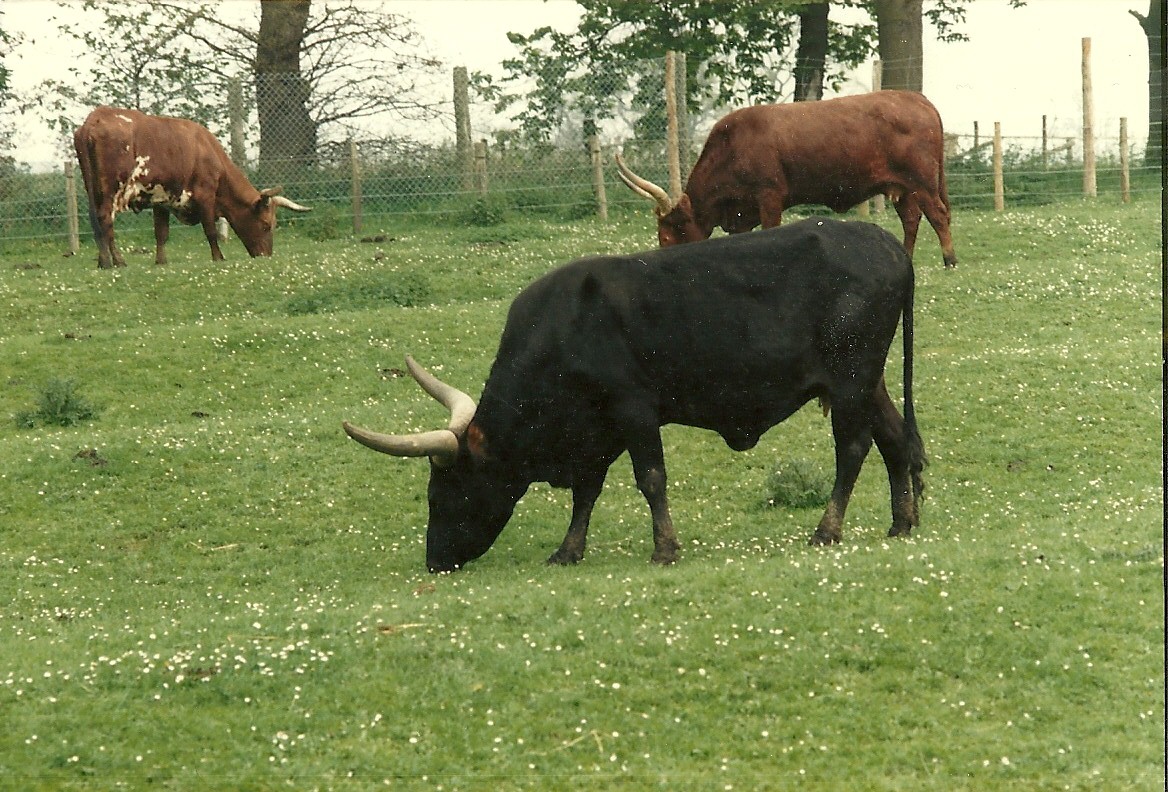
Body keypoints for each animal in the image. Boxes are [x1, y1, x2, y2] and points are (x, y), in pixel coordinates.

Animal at [73, 106, 310, 269]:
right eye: (266, 225)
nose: (265, 256)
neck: (208, 151)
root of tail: (94, 119)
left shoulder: (160, 198)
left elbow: (161, 232)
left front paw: (161, 261)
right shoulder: (206, 195)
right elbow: (210, 231)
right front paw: (218, 257)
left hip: (92, 188)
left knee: (95, 220)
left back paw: (103, 261)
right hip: (112, 188)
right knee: (105, 219)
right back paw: (118, 260)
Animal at [343, 218, 926, 573]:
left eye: (441, 492)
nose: (435, 560)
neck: (562, 331)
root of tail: (887, 244)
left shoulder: (634, 410)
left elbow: (650, 479)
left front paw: (664, 548)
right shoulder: (597, 431)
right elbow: (586, 492)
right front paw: (568, 550)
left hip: (850, 380)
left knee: (853, 450)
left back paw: (827, 530)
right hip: (868, 382)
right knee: (896, 440)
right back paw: (902, 521)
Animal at [615, 90, 957, 268]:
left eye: (668, 232)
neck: (732, 146)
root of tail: (917, 98)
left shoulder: (769, 197)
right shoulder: (741, 213)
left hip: (923, 182)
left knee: (938, 215)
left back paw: (949, 259)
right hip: (904, 188)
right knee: (912, 219)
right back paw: (907, 257)